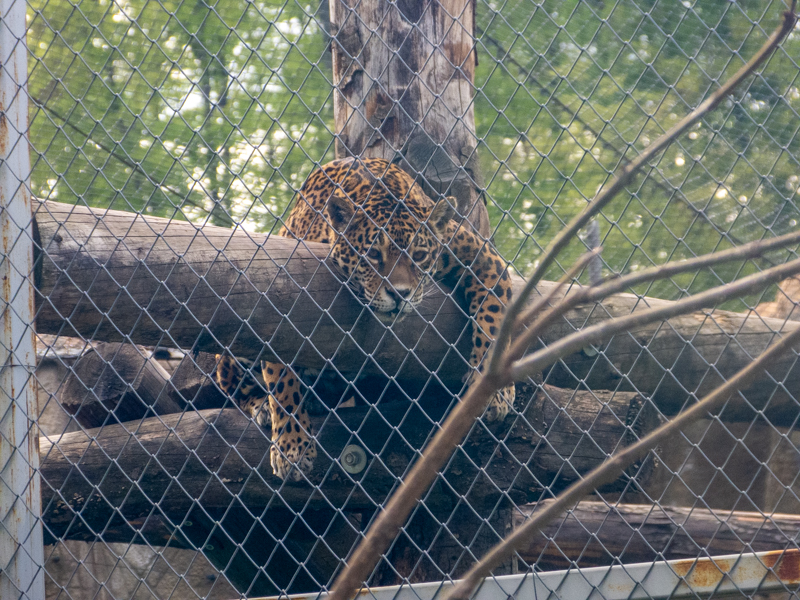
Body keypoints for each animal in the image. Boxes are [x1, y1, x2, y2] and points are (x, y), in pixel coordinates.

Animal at [216, 158, 515, 481]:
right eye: (373, 253)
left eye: (420, 255)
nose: (400, 294)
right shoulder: (281, 297)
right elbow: (282, 384)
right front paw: (291, 449)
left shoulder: (482, 256)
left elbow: (494, 320)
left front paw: (495, 393)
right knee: (231, 384)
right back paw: (262, 406)